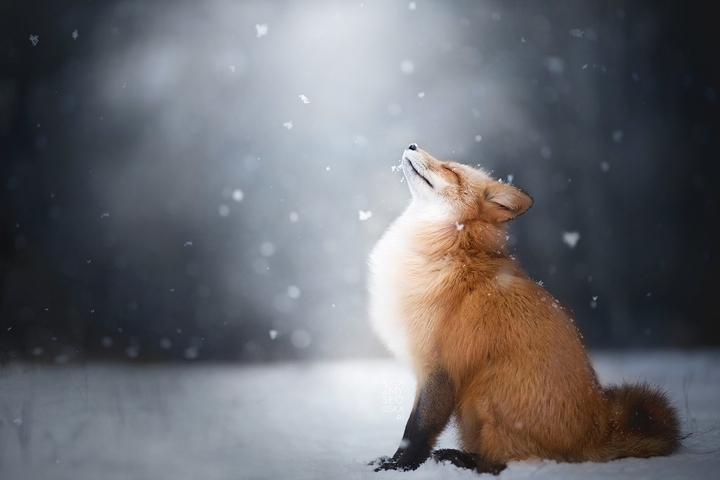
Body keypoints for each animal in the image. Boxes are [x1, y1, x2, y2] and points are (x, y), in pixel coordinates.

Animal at [367, 144, 681, 474]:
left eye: (451, 170)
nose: (412, 146)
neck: (452, 249)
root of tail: (597, 431)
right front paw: (391, 462)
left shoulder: (440, 367)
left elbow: (416, 430)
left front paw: (397, 467)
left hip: (485, 393)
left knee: (501, 463)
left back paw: (461, 459)